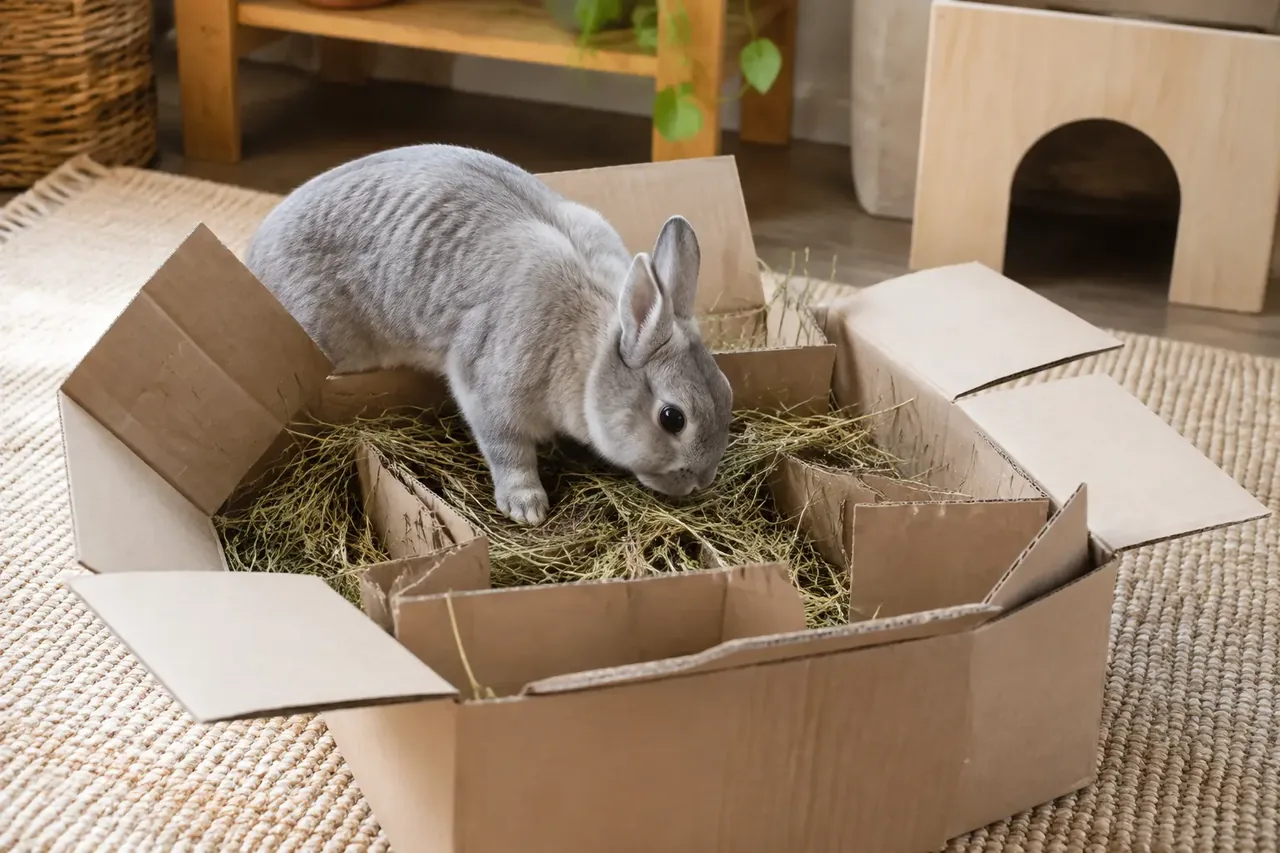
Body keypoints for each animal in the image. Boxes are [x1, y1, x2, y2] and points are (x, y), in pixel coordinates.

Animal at [244, 144, 734, 526]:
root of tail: (252, 259)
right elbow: (508, 451)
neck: (591, 347)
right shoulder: (490, 393)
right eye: (672, 418)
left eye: (726, 390)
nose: (702, 480)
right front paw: (527, 508)